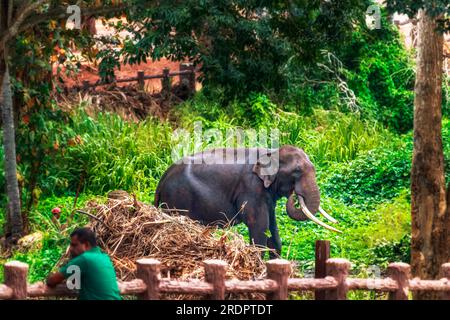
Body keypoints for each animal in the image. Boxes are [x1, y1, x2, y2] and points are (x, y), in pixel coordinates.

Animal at [153, 146, 340, 256]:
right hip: (178, 199)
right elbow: (259, 227)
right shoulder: (251, 187)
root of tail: (162, 180)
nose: (295, 194)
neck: (272, 151)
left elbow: (273, 231)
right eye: (297, 171)